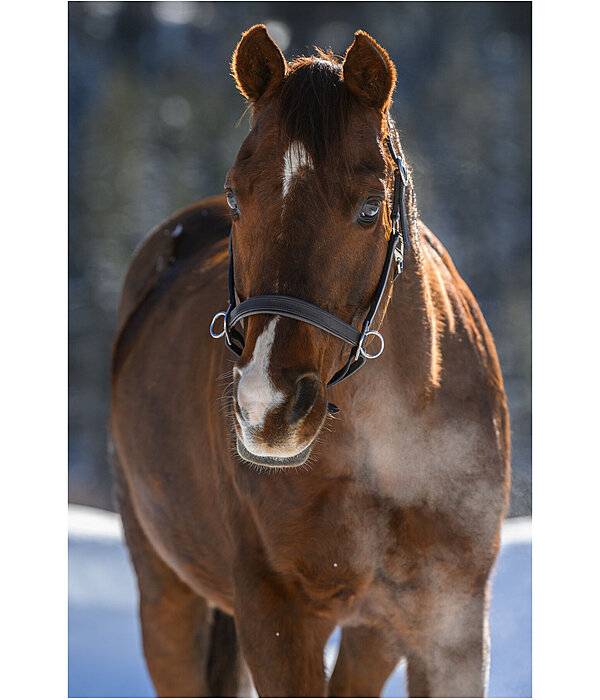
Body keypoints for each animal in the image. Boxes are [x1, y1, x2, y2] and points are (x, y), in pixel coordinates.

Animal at [110, 25, 510, 698]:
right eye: (235, 198)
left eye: (371, 207)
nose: (266, 408)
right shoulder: (277, 614)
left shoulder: (450, 625)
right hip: (167, 595)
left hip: (374, 634)